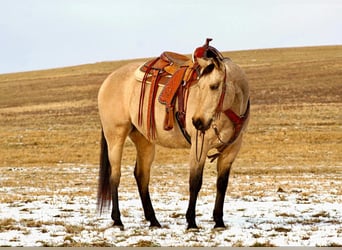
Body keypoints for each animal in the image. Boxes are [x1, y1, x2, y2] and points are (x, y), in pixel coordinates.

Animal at [97, 38, 250, 229]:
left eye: (214, 86)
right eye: (199, 86)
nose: (197, 121)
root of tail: (108, 81)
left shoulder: (232, 149)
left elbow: (222, 183)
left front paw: (219, 222)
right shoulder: (199, 145)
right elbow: (195, 182)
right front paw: (191, 222)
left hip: (144, 140)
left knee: (141, 175)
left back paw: (153, 220)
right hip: (115, 136)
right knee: (115, 175)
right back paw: (117, 220)